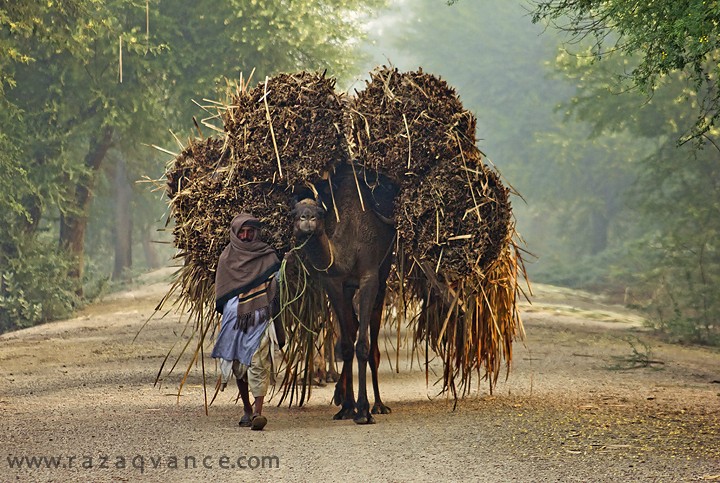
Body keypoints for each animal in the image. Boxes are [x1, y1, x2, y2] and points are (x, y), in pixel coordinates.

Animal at [292, 162, 397, 424]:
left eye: (319, 213)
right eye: (293, 212)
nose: (306, 218)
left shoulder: (369, 277)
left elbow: (363, 346)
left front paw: (364, 410)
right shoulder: (335, 284)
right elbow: (348, 345)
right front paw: (348, 407)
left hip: (383, 275)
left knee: (373, 347)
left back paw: (379, 405)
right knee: (350, 330)